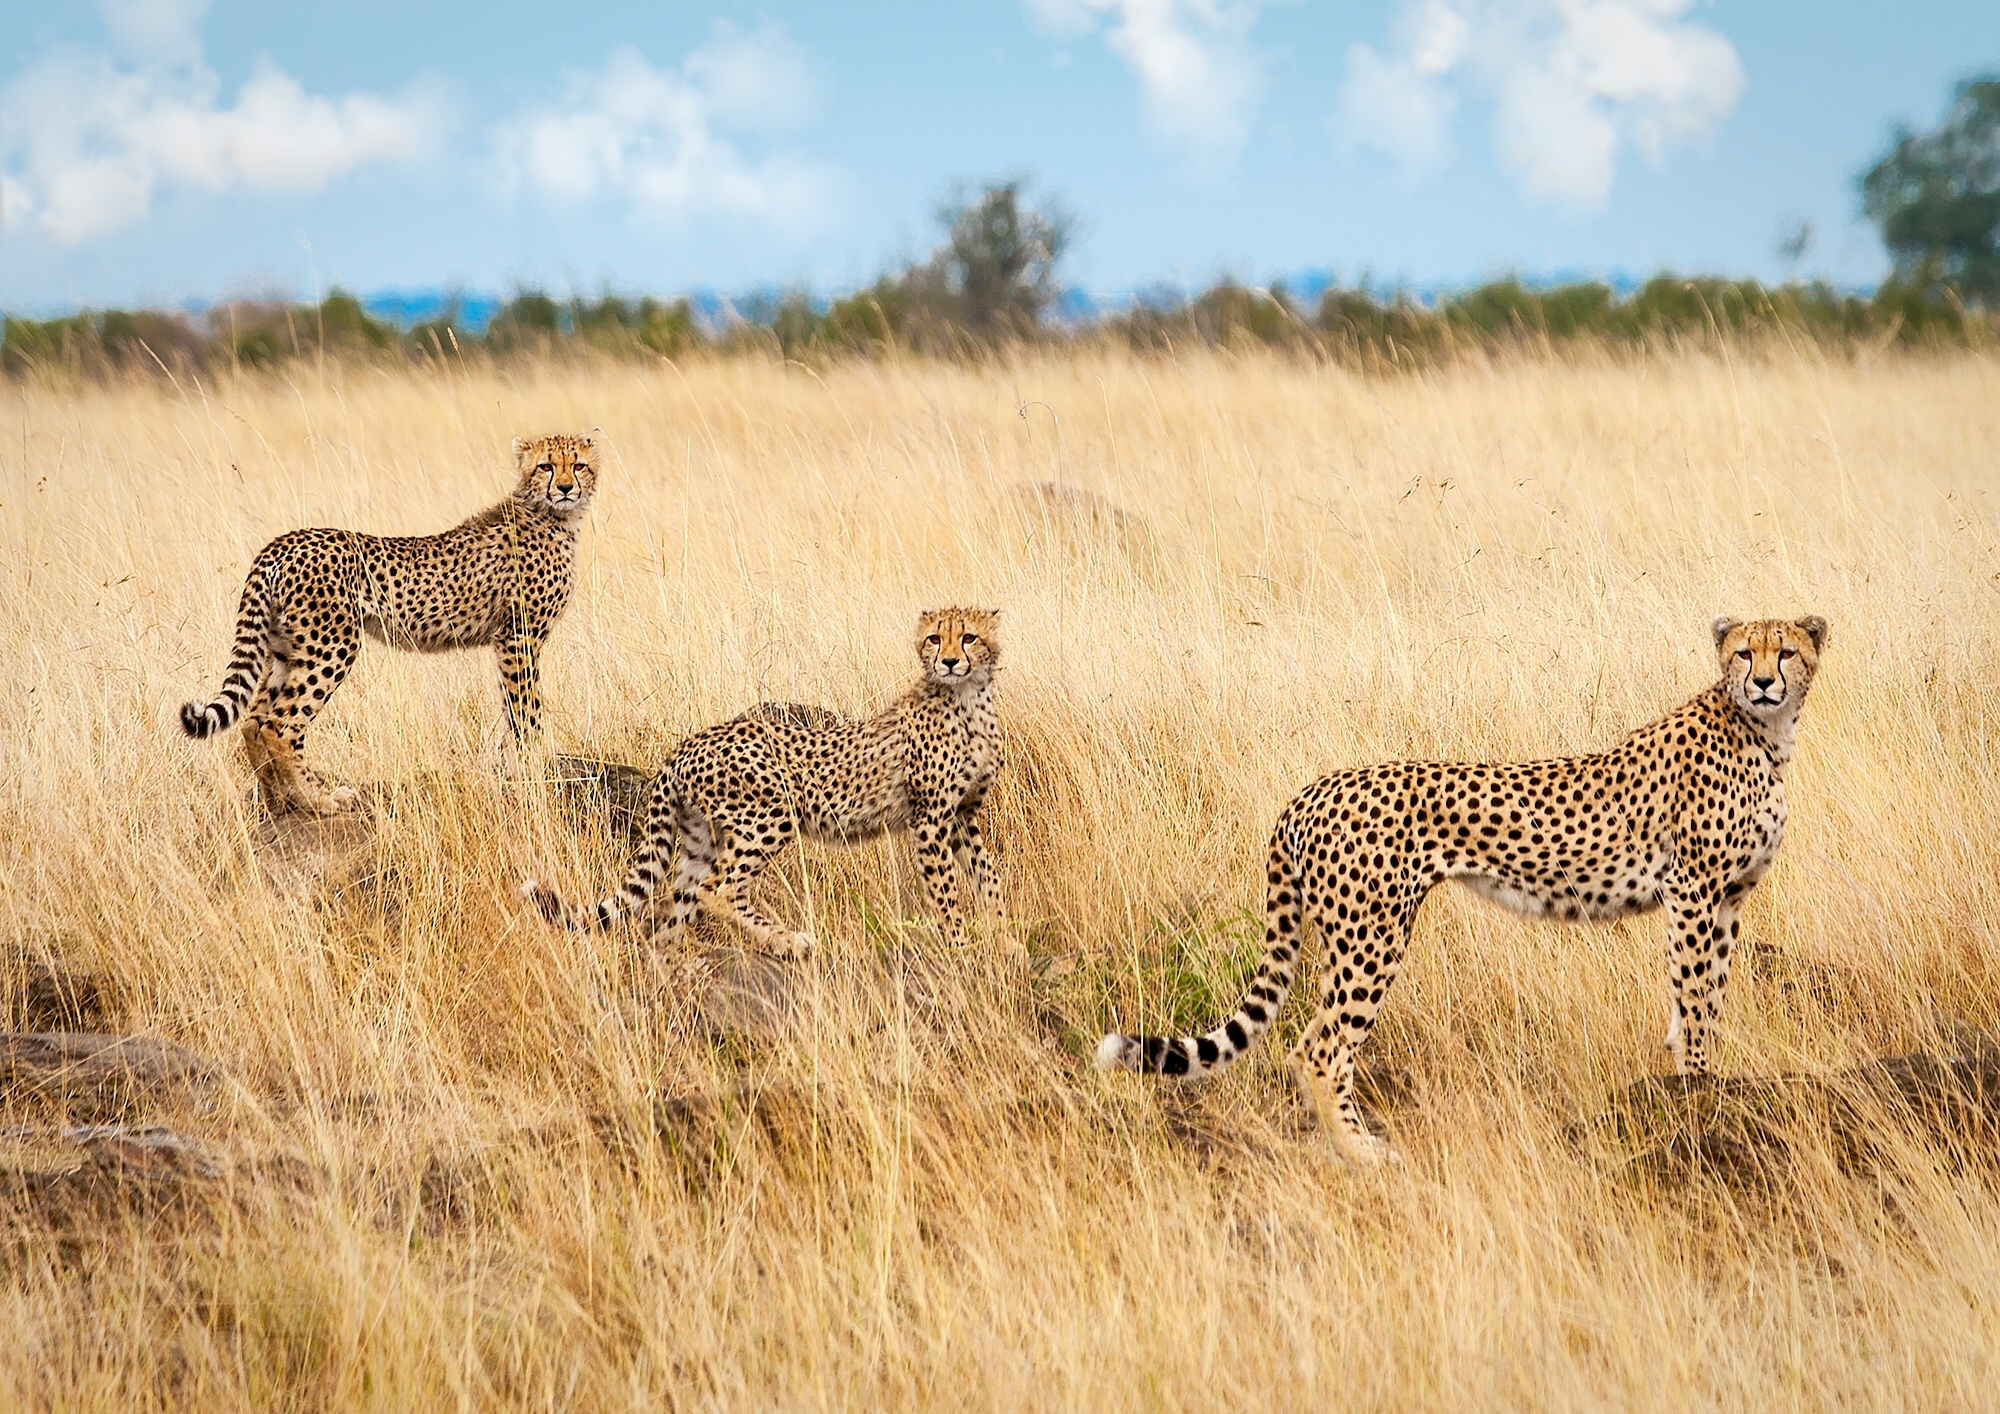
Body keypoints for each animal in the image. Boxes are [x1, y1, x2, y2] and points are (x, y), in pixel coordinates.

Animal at [182, 432, 592, 812]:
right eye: (546, 466)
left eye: (579, 465)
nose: (566, 488)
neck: (552, 516)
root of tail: (285, 540)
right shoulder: (518, 638)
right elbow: (527, 710)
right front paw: (529, 768)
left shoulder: (512, 641)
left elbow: (514, 709)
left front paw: (513, 766)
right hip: (331, 647)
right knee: (279, 726)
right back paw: (320, 801)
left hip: (285, 649)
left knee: (253, 720)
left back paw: (280, 802)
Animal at [524, 608, 1016, 964]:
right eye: (935, 638)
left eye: (968, 637)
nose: (949, 661)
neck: (969, 699)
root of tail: (688, 742)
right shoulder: (931, 819)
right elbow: (947, 889)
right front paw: (960, 945)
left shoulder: (963, 816)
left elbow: (988, 875)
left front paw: (1004, 937)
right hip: (770, 814)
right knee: (718, 889)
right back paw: (789, 942)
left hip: (699, 842)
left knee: (668, 916)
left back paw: (672, 974)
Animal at [1096, 612, 1832, 1168]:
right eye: (1744, 652)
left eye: (1786, 650)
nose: (1764, 681)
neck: (1766, 734)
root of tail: (1312, 790)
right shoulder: (1694, 890)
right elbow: (1699, 994)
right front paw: (1700, 1089)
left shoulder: (1726, 898)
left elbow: (1699, 995)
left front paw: (1692, 1077)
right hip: (1373, 939)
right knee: (1320, 1050)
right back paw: (1364, 1155)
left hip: (1348, 939)